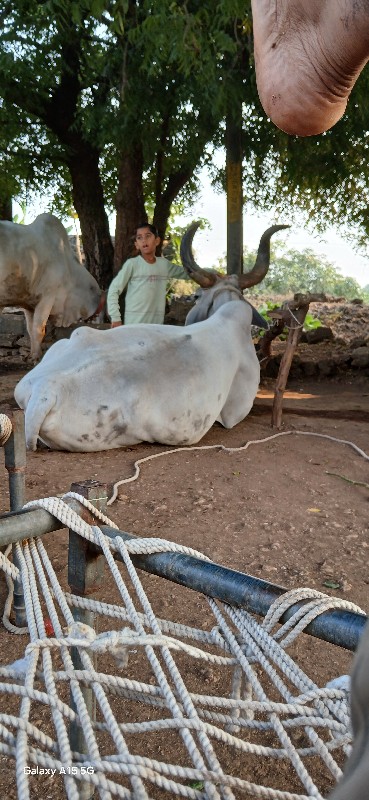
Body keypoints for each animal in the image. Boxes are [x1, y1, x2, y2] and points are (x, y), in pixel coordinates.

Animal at [0, 214, 103, 360]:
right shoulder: (48, 295)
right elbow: (39, 330)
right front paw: (36, 357)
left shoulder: (29, 304)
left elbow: (30, 330)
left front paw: (32, 354)